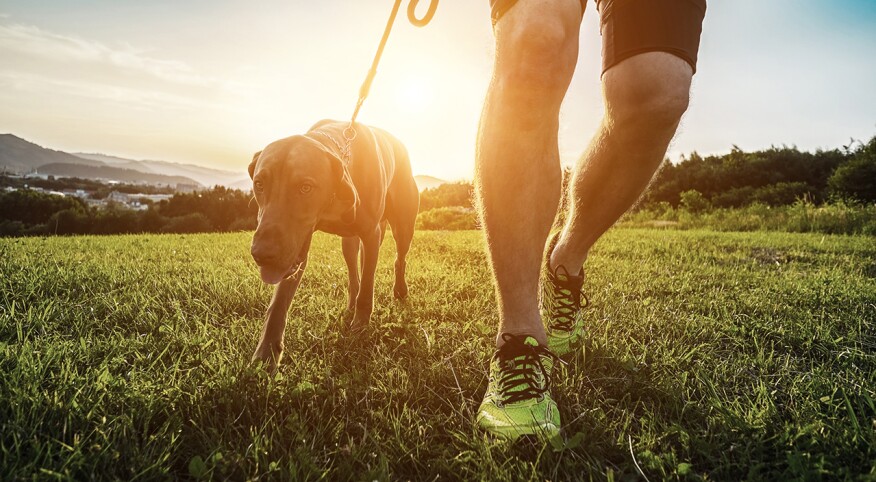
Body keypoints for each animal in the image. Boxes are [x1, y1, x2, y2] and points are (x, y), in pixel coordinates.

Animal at [245, 120, 420, 370]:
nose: (262, 254)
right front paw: (267, 352)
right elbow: (278, 303)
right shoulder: (298, 243)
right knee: (355, 273)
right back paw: (351, 303)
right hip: (349, 242)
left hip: (403, 225)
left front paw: (360, 327)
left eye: (305, 187)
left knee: (398, 258)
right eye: (259, 184)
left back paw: (399, 290)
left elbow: (368, 288)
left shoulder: (370, 232)